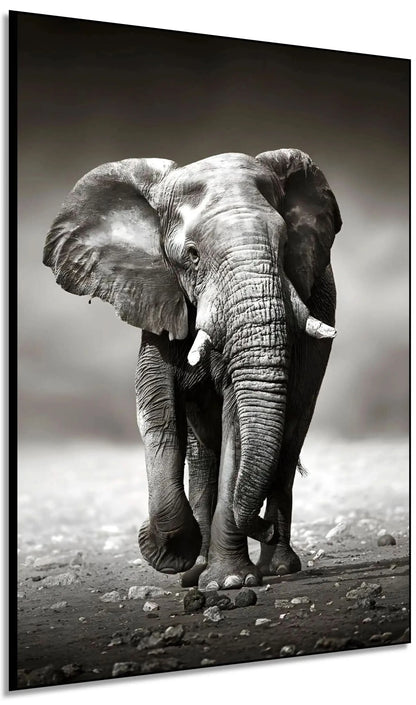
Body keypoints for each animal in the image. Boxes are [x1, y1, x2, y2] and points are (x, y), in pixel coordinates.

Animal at [43, 149, 342, 590]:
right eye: (192, 254)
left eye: (286, 244)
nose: (264, 529)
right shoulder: (156, 297)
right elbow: (158, 411)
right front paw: (173, 555)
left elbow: (237, 422)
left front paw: (228, 582)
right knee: (205, 454)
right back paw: (197, 568)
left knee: (288, 438)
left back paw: (276, 567)